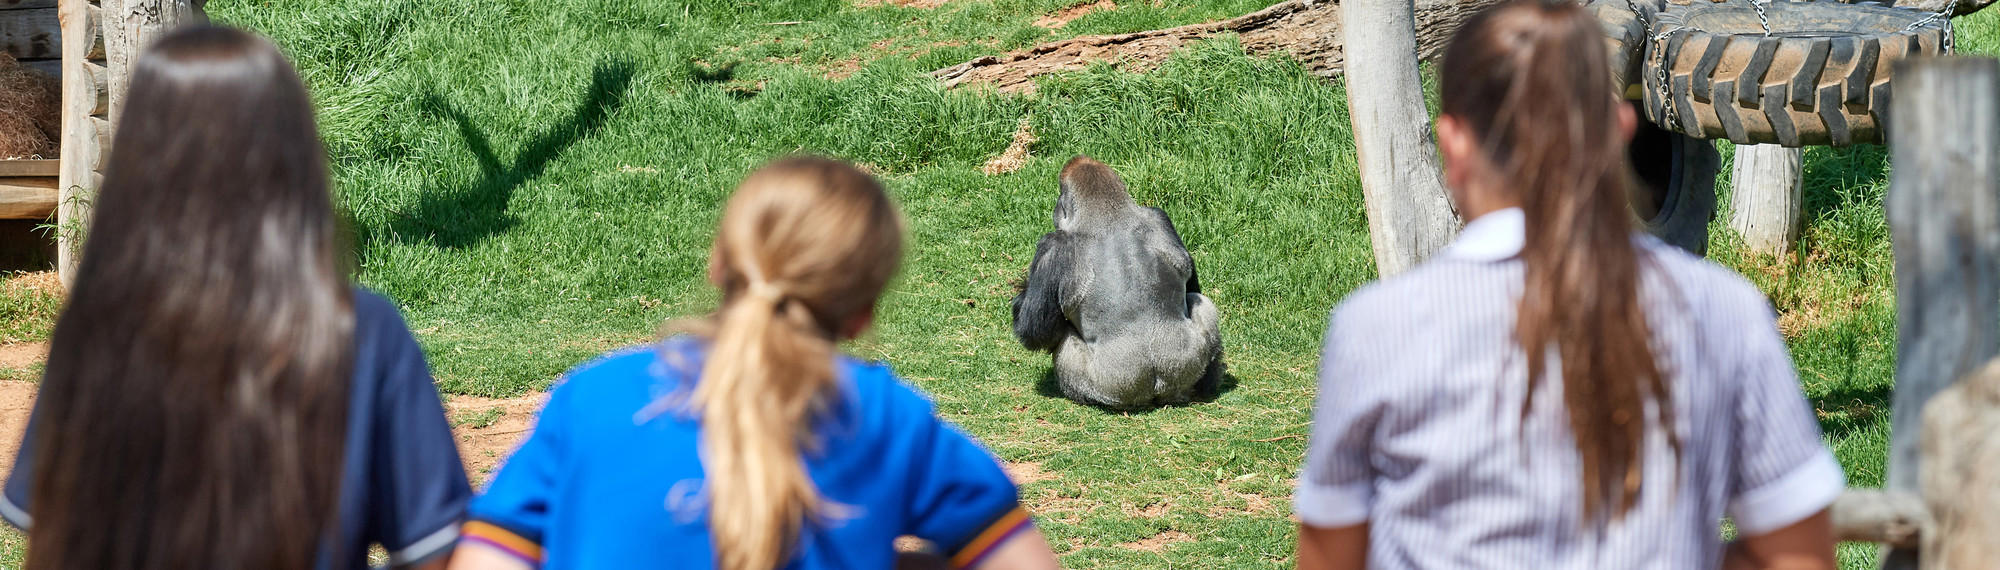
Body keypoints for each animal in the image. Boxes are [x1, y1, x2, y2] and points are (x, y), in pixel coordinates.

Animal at [1010, 156, 1222, 409]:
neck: (1110, 216)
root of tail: (1156, 388)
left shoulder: (1054, 246)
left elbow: (1034, 331)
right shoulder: (1160, 216)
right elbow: (1192, 285)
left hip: (1108, 388)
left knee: (1064, 342)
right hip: (1184, 365)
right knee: (1200, 301)